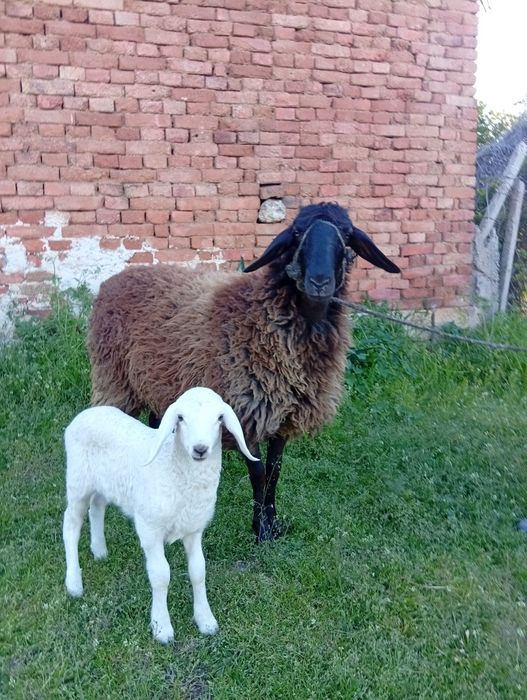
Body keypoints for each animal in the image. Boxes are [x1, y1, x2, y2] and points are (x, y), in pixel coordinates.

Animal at [63, 386, 257, 644]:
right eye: (181, 418)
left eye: (219, 418)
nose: (200, 449)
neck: (173, 469)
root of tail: (86, 414)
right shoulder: (150, 528)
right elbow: (161, 575)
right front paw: (161, 627)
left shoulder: (194, 528)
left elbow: (198, 571)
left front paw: (205, 619)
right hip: (78, 482)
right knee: (70, 526)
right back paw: (74, 583)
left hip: (105, 483)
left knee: (98, 507)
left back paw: (100, 550)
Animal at [88, 202, 400, 542]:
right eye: (297, 233)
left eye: (346, 233)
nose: (319, 282)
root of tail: (113, 281)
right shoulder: (245, 409)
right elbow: (258, 471)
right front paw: (260, 530)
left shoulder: (284, 413)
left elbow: (276, 470)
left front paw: (273, 523)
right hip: (114, 377)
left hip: (158, 380)